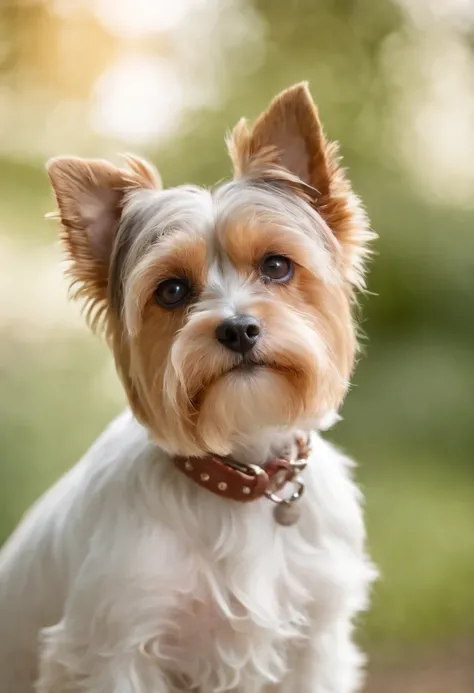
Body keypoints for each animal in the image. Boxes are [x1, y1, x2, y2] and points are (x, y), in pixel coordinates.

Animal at [0, 82, 378, 692]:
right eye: (172, 290)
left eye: (276, 266)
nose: (239, 328)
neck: (241, 477)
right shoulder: (112, 650)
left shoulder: (316, 642)